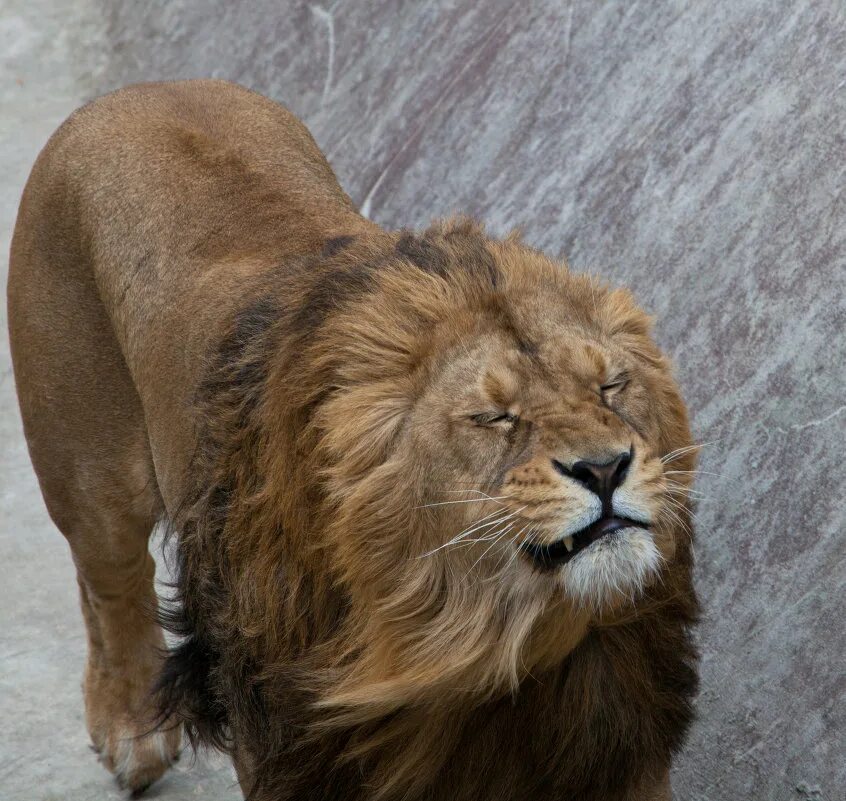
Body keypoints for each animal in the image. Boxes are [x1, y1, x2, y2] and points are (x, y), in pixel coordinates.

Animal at [8, 80, 699, 800]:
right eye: (492, 417)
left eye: (611, 387)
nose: (605, 468)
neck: (470, 647)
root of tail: (135, 91)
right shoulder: (295, 751)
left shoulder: (616, 743)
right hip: (93, 483)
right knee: (109, 585)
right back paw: (130, 728)